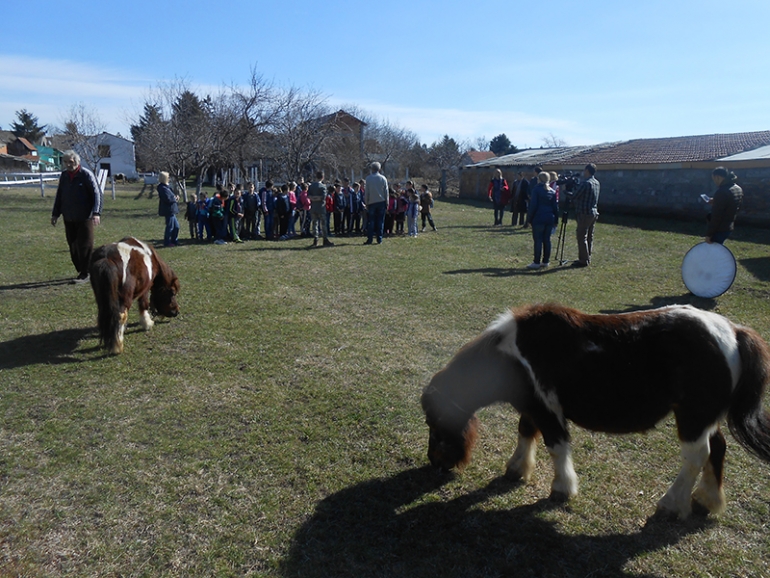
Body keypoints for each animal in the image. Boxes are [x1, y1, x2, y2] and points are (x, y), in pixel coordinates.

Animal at [420, 302, 768, 516]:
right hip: (705, 417)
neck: (513, 356)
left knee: (697, 455)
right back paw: (707, 500)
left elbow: (556, 445)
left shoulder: (548, 409)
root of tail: (734, 332)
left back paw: (671, 505)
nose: (436, 464)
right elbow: (525, 432)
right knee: (717, 448)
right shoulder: (532, 406)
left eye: (433, 423)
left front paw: (562, 489)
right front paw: (516, 470)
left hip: (693, 417)